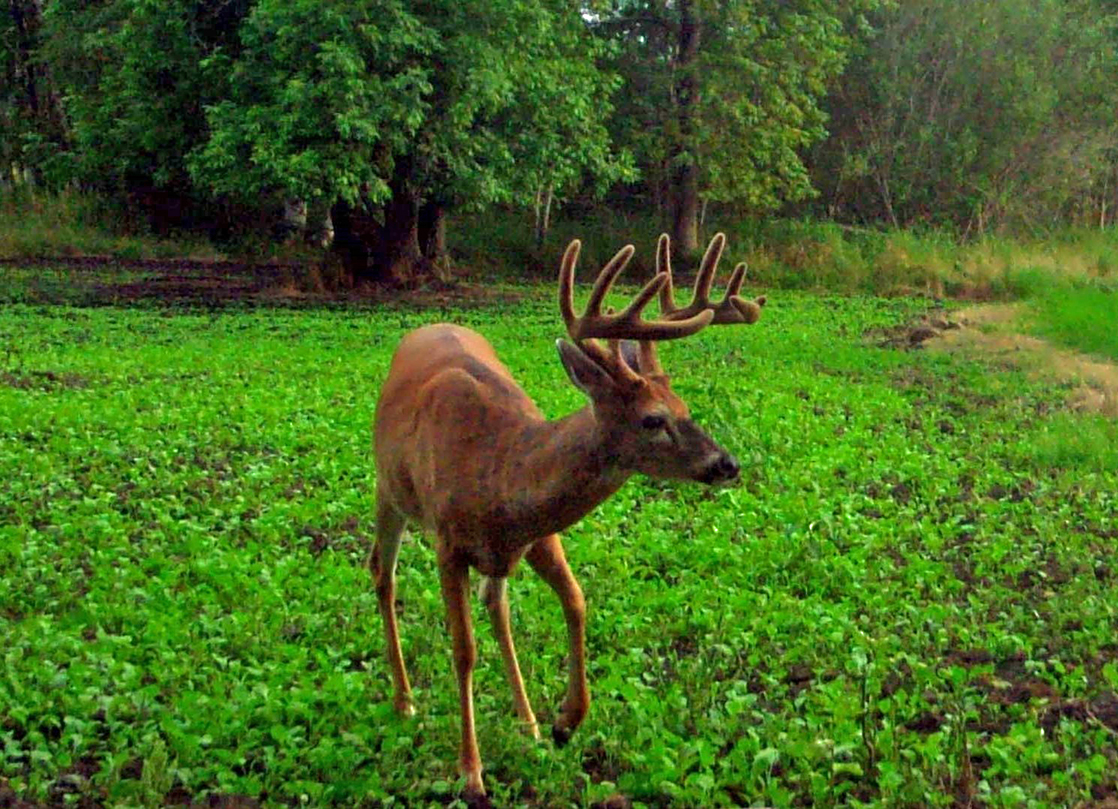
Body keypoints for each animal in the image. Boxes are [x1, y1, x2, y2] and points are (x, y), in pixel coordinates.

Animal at [371, 232, 765, 803]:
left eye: (684, 406)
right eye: (653, 419)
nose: (726, 464)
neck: (501, 470)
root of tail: (426, 326)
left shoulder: (539, 534)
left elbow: (577, 602)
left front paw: (565, 721)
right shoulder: (448, 542)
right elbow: (463, 650)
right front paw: (471, 773)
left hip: (490, 553)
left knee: (497, 604)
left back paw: (528, 720)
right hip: (389, 489)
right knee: (383, 574)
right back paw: (404, 701)